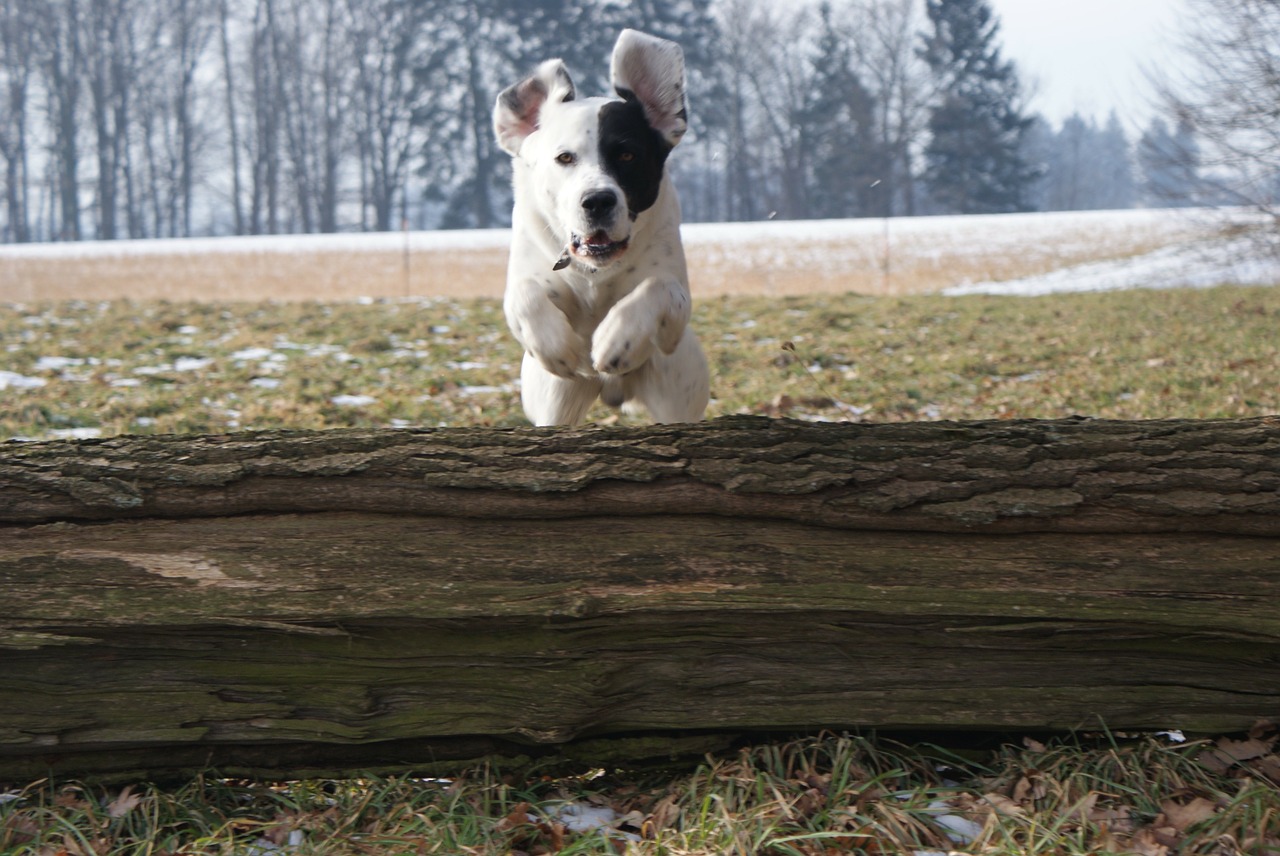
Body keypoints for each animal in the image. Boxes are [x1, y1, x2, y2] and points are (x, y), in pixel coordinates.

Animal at [491, 29, 711, 424]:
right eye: (564, 157)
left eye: (627, 154)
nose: (597, 200)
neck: (596, 271)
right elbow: (524, 295)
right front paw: (557, 346)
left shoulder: (675, 309)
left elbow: (662, 289)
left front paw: (617, 340)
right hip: (556, 402)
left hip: (677, 385)